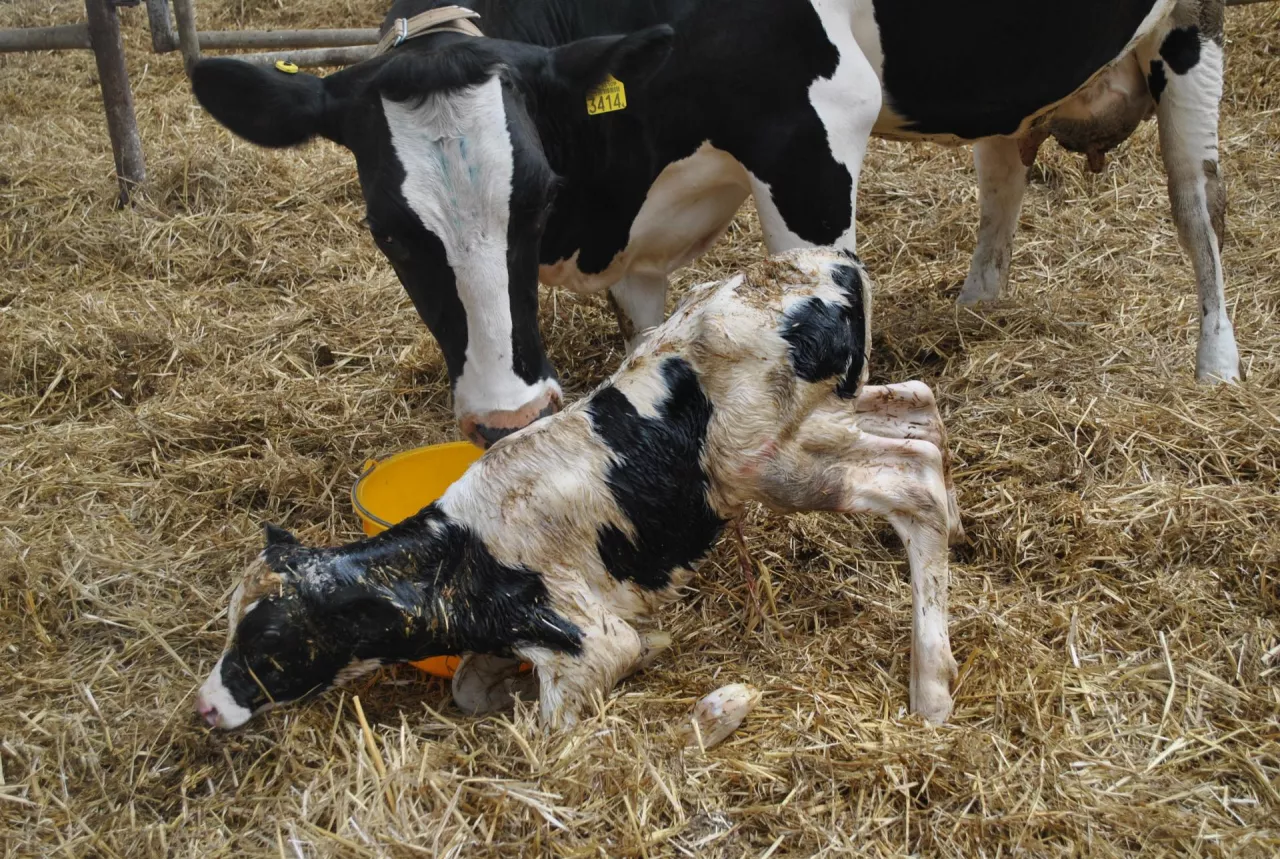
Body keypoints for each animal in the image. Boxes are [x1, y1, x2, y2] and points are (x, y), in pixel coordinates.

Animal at [192, 0, 1239, 442]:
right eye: (386, 230)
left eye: (536, 197)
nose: (507, 416)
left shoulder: (812, 135)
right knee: (1002, 168)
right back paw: (979, 305)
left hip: (1193, 28)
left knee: (1200, 207)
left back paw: (1217, 368)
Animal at [194, 248, 962, 732]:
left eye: (269, 642)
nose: (204, 706)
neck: (463, 552)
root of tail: (824, 259)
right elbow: (470, 687)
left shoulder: (591, 640)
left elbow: (550, 729)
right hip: (831, 418)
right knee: (921, 416)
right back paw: (957, 525)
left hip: (772, 464)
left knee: (911, 482)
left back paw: (932, 688)